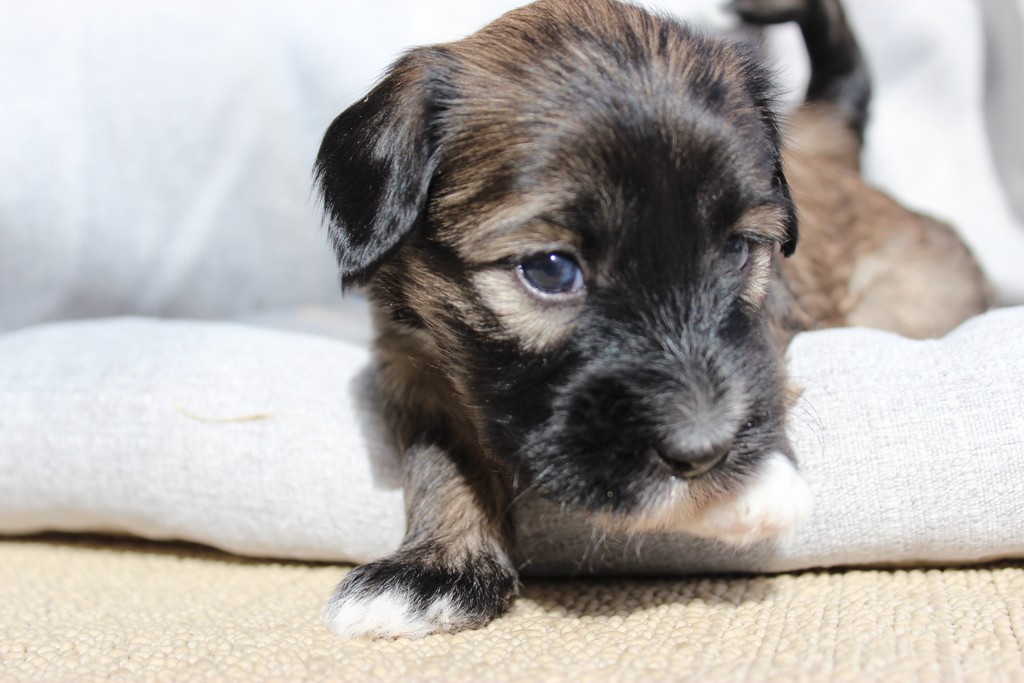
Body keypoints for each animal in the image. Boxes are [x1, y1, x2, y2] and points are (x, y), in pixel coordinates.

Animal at [313, 0, 992, 638]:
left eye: (738, 250)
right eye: (550, 270)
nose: (701, 449)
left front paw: (756, 479)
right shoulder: (408, 353)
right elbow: (441, 452)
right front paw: (435, 569)